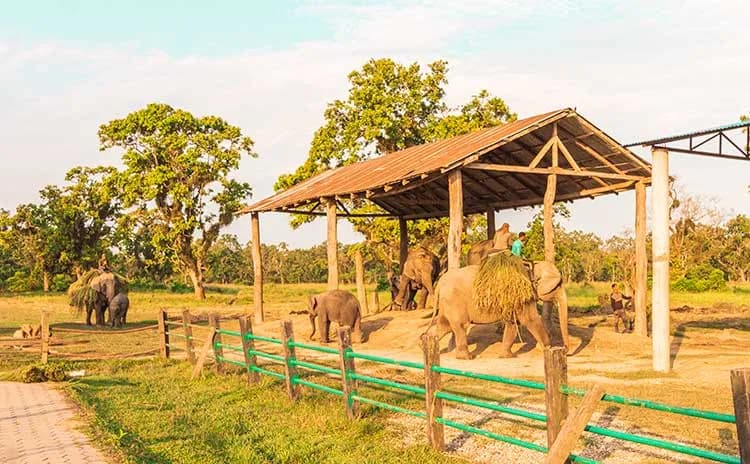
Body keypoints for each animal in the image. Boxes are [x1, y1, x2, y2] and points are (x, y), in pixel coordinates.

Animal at [424, 261, 569, 359]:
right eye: (559, 285)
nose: (565, 349)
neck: (532, 266)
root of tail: (440, 284)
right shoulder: (523, 295)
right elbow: (530, 320)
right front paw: (548, 349)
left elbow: (513, 323)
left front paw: (508, 356)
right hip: (454, 301)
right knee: (460, 325)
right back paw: (467, 357)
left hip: (447, 303)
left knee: (445, 325)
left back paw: (424, 343)